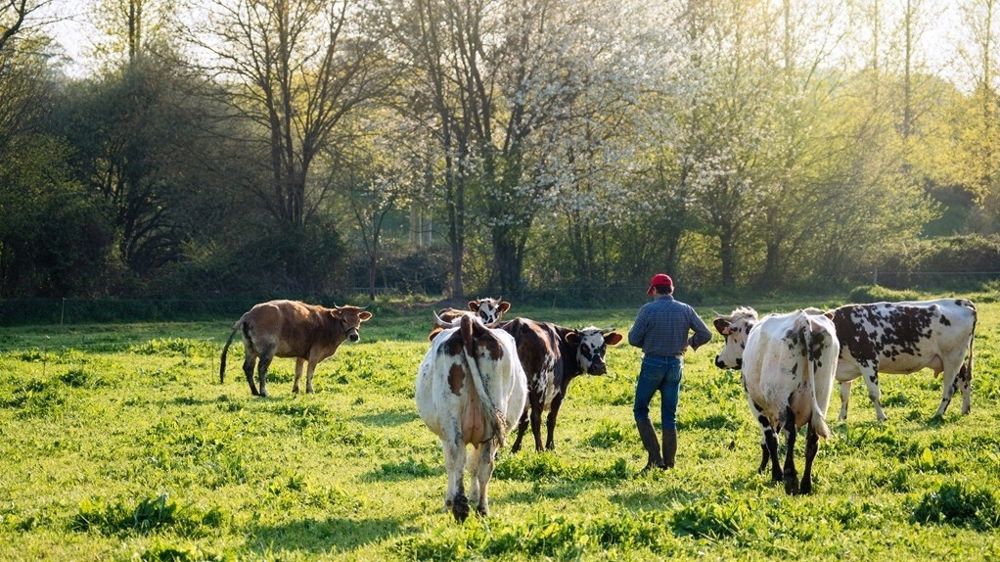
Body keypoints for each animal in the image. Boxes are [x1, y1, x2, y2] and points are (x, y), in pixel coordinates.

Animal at [219, 300, 372, 397]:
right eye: (344, 319)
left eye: (358, 320)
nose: (354, 336)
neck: (328, 323)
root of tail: (249, 314)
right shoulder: (315, 353)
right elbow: (310, 373)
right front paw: (309, 390)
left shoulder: (301, 354)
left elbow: (298, 372)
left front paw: (295, 389)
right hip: (268, 351)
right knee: (261, 368)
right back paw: (263, 392)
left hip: (250, 349)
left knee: (248, 368)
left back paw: (254, 391)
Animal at [415, 312, 527, 522]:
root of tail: (468, 324)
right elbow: (474, 466)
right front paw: (473, 496)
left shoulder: (444, 435)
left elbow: (454, 465)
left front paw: (449, 501)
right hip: (493, 419)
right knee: (484, 465)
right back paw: (482, 508)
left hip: (451, 420)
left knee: (457, 459)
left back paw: (459, 506)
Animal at [501, 318, 623, 453]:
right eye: (584, 347)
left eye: (604, 346)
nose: (599, 367)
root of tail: (519, 325)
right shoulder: (559, 392)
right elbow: (551, 420)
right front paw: (550, 446)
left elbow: (523, 422)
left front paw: (516, 448)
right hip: (538, 387)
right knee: (536, 418)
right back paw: (540, 449)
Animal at [713, 307, 839, 495]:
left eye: (726, 338)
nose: (718, 359)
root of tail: (802, 320)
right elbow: (769, 439)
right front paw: (765, 468)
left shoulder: (757, 404)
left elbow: (770, 439)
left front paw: (774, 473)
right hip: (821, 399)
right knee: (812, 440)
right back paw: (806, 484)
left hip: (783, 401)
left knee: (790, 435)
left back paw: (790, 478)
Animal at [827, 299, 977, 421]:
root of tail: (962, 302)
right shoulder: (844, 368)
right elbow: (844, 395)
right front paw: (841, 419)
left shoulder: (868, 361)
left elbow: (874, 394)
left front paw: (882, 417)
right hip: (959, 360)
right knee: (965, 381)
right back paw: (965, 410)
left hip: (952, 358)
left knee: (950, 389)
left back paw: (938, 414)